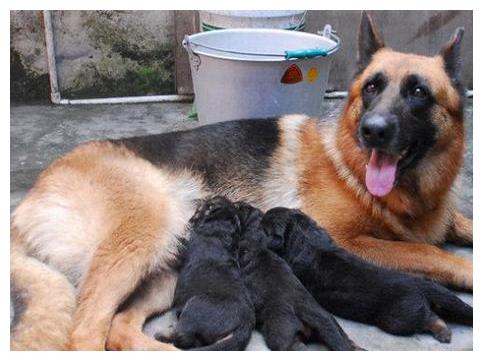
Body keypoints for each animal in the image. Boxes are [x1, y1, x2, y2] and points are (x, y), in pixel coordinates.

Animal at [160, 195, 258, 350]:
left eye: (209, 201)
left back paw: (164, 334)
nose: (199, 199)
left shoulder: (184, 245)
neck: (220, 226)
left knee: (183, 337)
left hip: (194, 305)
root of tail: (246, 324)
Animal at [260, 207, 472, 342]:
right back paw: (444, 332)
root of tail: (423, 285)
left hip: (398, 318)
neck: (306, 236)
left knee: (426, 318)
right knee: (435, 316)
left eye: (264, 224)